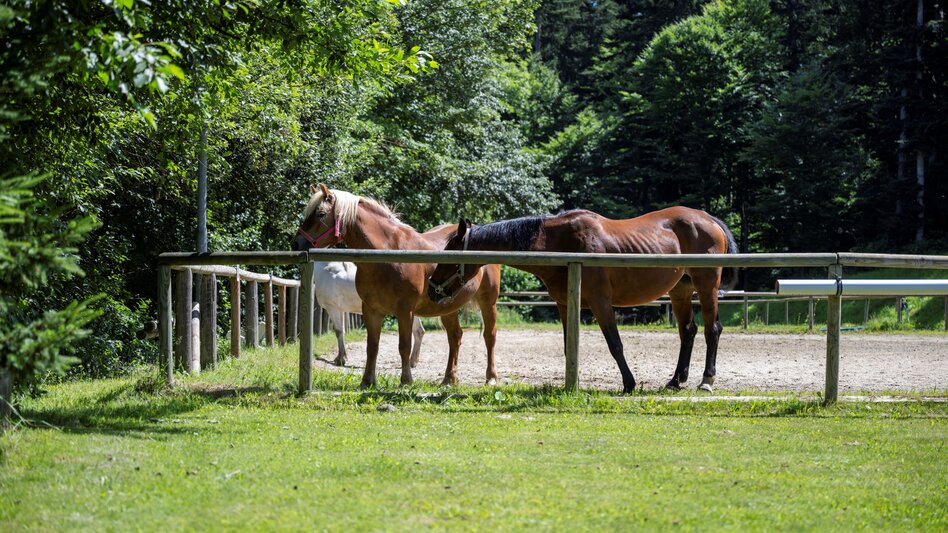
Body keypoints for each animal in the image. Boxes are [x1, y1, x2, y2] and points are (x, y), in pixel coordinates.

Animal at [294, 184, 502, 388]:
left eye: (320, 213)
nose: (297, 244)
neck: (387, 255)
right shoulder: (371, 310)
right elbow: (372, 346)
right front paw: (367, 381)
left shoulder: (405, 310)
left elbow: (404, 345)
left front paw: (406, 381)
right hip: (447, 306)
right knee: (455, 337)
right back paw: (449, 379)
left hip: (488, 302)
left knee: (489, 336)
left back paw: (491, 377)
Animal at [425, 208, 738, 393]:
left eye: (449, 253)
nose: (432, 287)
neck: (559, 242)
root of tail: (709, 219)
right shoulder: (565, 305)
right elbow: (569, 347)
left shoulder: (601, 303)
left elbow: (615, 344)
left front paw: (629, 384)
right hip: (680, 291)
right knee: (688, 332)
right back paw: (675, 381)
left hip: (706, 286)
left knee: (712, 330)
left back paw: (706, 380)